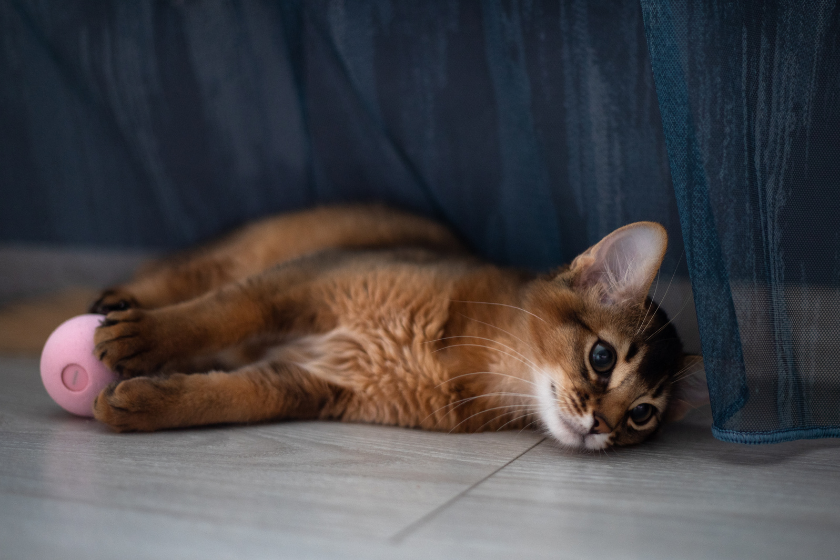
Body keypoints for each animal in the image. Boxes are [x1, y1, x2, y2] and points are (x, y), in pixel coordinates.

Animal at [87, 206, 704, 450]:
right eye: (602, 358)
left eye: (642, 415)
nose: (602, 426)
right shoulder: (308, 279)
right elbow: (221, 313)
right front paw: (141, 340)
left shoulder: (309, 384)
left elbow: (230, 397)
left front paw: (140, 403)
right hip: (237, 256)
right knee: (176, 280)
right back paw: (121, 304)